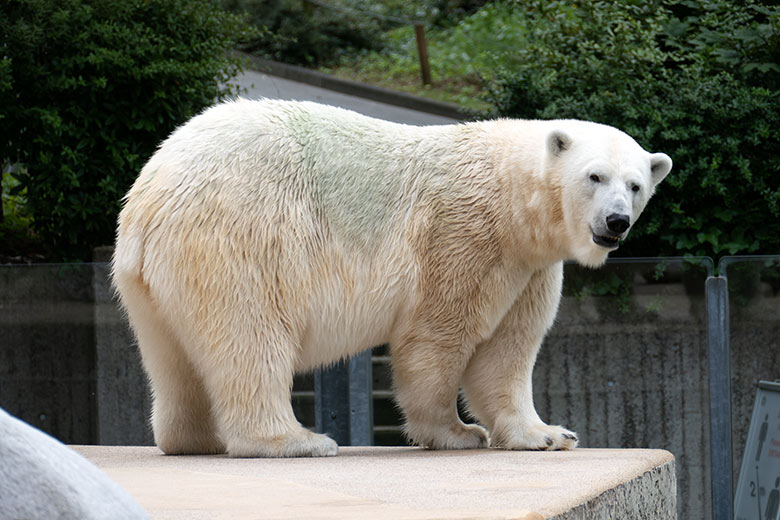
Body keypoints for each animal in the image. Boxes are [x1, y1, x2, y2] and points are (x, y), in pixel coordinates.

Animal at [111, 97, 672, 456]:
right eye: (594, 176)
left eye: (636, 184)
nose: (616, 222)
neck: (511, 196)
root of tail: (151, 195)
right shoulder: (463, 236)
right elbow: (438, 338)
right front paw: (457, 432)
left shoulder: (527, 266)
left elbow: (508, 350)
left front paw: (550, 434)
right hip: (241, 236)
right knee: (250, 335)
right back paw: (296, 441)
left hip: (149, 283)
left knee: (171, 357)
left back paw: (193, 440)